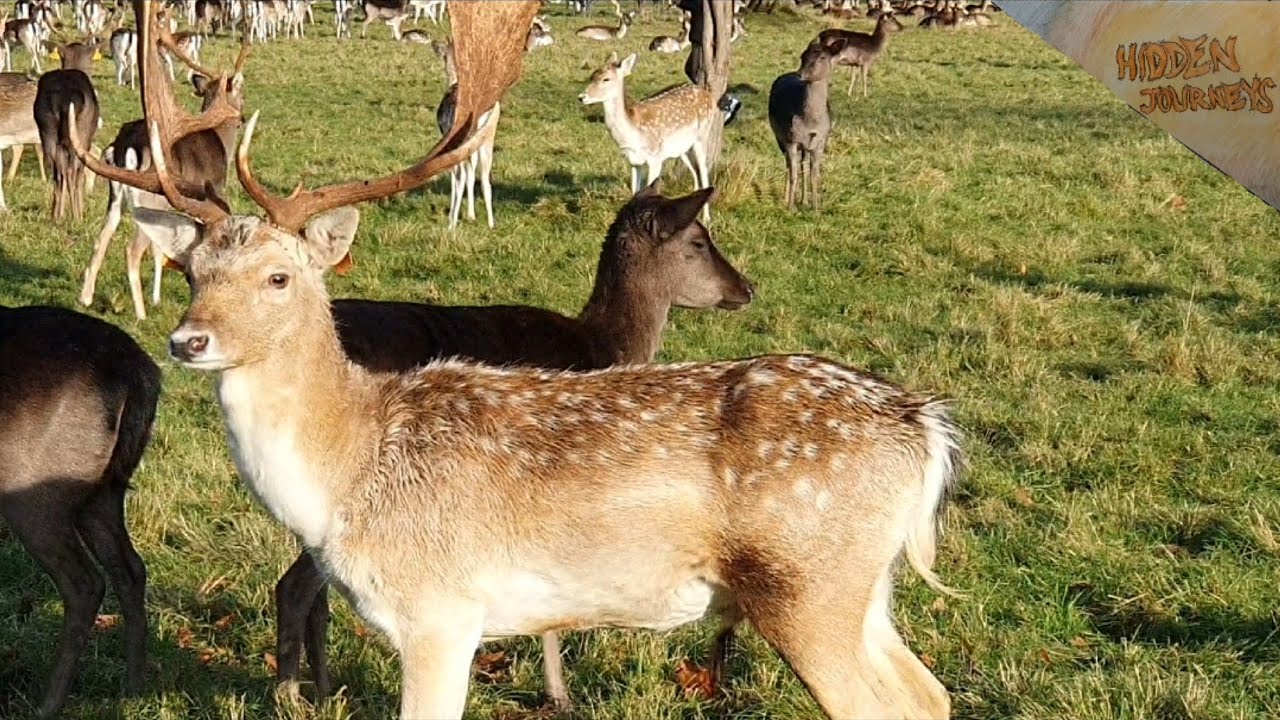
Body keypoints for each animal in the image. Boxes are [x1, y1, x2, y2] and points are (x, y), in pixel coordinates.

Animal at [0, 305, 160, 719]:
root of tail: (141, 375)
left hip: (32, 494)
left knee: (86, 583)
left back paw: (47, 705)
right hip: (104, 490)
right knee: (131, 569)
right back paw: (132, 689)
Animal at [579, 52, 718, 219]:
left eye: (606, 79)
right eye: (591, 76)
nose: (581, 97)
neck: (633, 133)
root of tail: (709, 95)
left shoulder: (655, 158)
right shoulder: (633, 161)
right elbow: (634, 191)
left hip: (703, 135)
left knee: (703, 170)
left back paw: (706, 217)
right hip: (682, 148)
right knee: (695, 172)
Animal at [768, 40, 839, 211]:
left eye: (822, 57)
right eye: (803, 56)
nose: (801, 75)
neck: (810, 121)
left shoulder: (821, 142)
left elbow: (814, 175)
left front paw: (815, 208)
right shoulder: (791, 138)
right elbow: (793, 174)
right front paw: (790, 207)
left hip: (806, 145)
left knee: (803, 165)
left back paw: (804, 200)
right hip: (779, 136)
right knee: (788, 163)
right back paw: (786, 198)